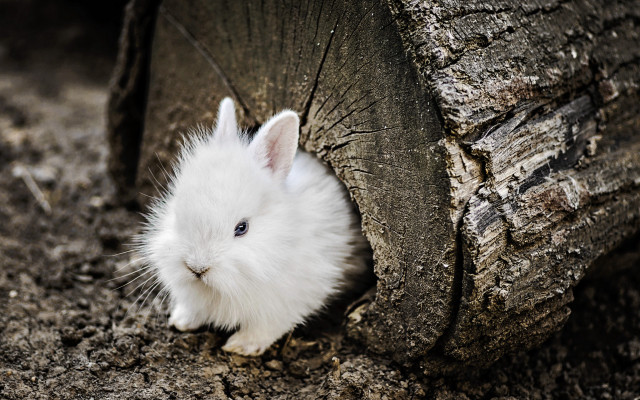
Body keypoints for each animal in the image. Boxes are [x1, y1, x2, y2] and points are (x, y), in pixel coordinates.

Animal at [137, 97, 370, 356]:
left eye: (242, 228)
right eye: (177, 212)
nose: (196, 268)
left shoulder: (288, 302)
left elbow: (264, 328)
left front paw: (239, 346)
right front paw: (181, 321)